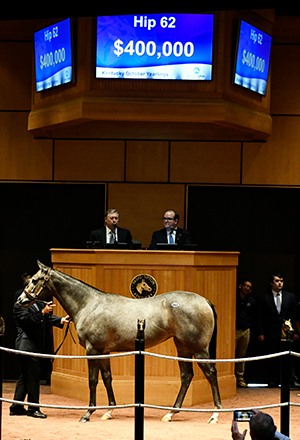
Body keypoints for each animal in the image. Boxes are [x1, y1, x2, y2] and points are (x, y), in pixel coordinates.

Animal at [17, 262, 221, 422]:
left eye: (34, 280)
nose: (20, 300)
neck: (88, 304)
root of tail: (205, 301)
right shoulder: (103, 351)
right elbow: (107, 378)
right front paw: (109, 410)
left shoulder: (93, 350)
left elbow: (92, 380)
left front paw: (88, 413)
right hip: (183, 347)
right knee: (186, 376)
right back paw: (170, 413)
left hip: (199, 349)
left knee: (211, 374)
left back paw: (215, 414)